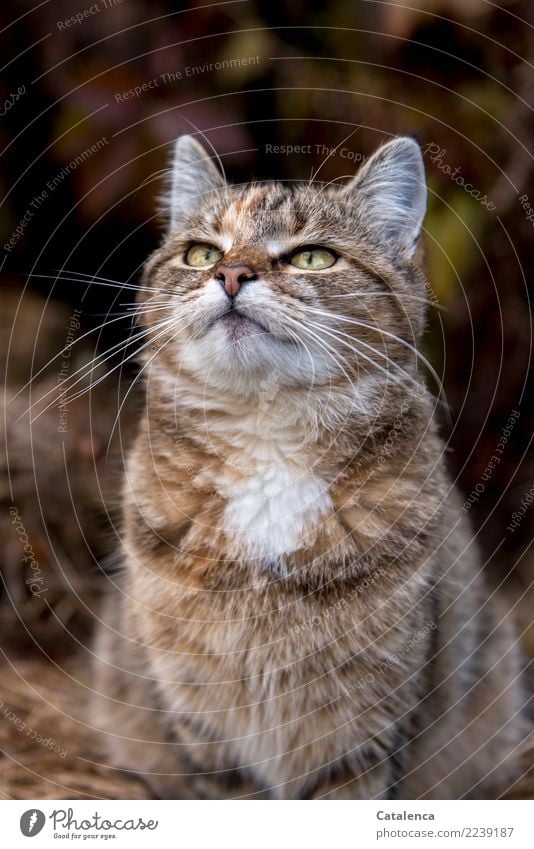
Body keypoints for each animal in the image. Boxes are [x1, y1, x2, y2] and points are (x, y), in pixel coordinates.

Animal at [93, 132, 528, 796]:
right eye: (201, 253)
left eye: (313, 259)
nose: (230, 273)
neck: (267, 450)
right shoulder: (205, 723)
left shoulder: (362, 725)